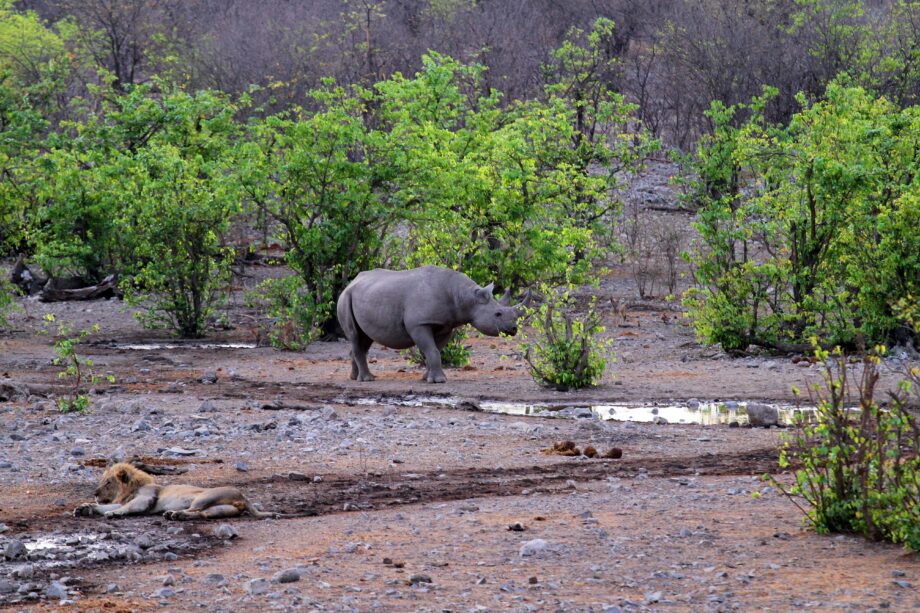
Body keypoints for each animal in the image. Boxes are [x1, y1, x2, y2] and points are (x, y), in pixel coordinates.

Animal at [336, 266, 521, 383]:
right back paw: (367, 379)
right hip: (345, 298)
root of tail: (350, 283)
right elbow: (432, 351)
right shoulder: (418, 324)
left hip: (361, 296)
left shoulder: (446, 325)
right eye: (497, 314)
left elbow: (435, 350)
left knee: (364, 338)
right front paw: (439, 381)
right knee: (355, 336)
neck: (465, 296)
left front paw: (427, 378)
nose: (514, 329)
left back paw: (355, 377)